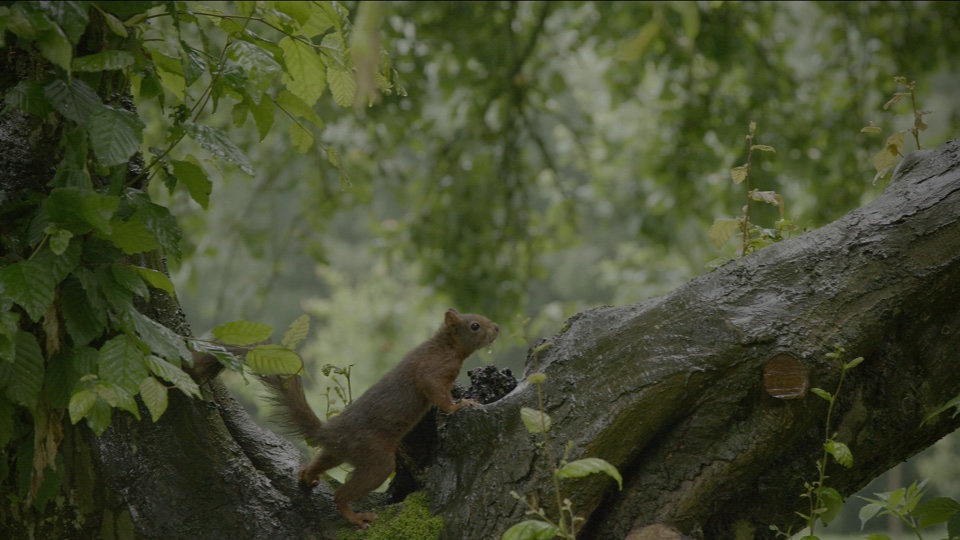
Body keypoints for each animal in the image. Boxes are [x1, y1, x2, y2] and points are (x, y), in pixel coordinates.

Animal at [262, 308, 502, 528]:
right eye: (475, 326)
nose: (497, 328)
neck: (446, 345)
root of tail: (329, 432)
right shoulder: (433, 369)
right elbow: (436, 392)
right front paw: (460, 405)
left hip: (336, 453)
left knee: (316, 464)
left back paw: (307, 477)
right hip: (376, 459)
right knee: (341, 495)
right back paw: (358, 518)